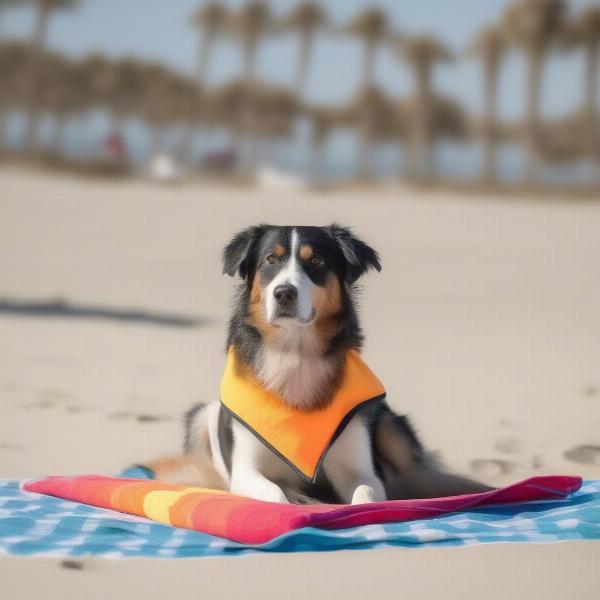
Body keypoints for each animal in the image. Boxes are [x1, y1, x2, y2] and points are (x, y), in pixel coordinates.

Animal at [149, 223, 488, 504]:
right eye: (270, 260)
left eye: (315, 262)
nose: (284, 293)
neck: (295, 354)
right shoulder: (246, 471)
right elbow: (274, 494)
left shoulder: (361, 469)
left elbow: (365, 496)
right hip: (199, 421)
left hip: (389, 425)